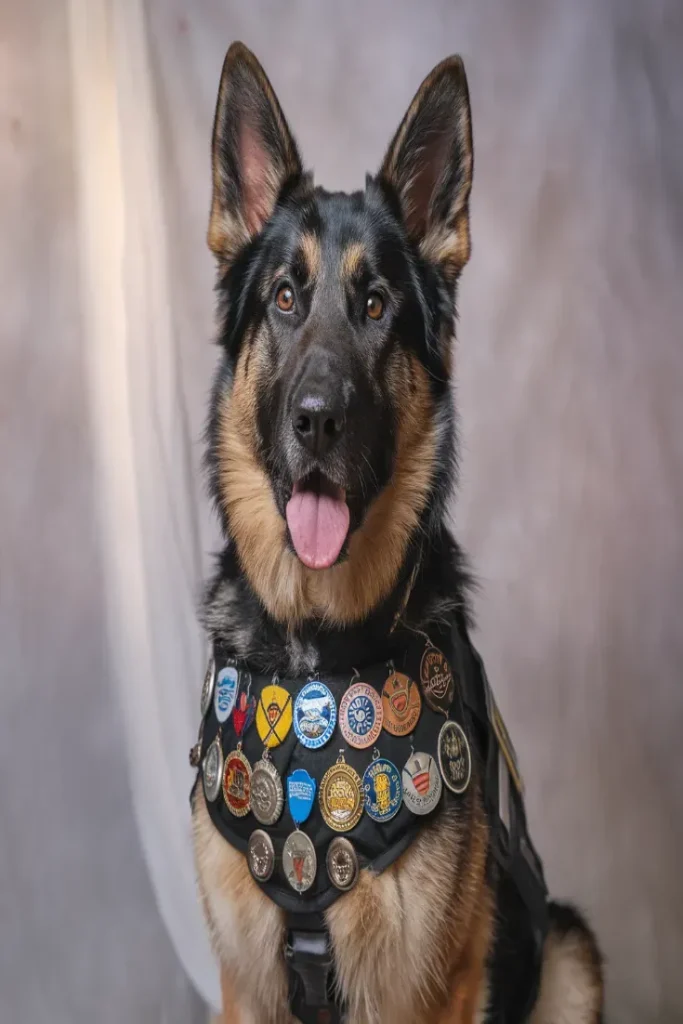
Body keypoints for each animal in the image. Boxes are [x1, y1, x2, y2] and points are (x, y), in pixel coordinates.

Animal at [192, 41, 602, 1024]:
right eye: (286, 297)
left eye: (375, 306)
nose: (316, 420)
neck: (313, 647)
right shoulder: (243, 984)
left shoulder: (428, 989)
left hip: (569, 951)